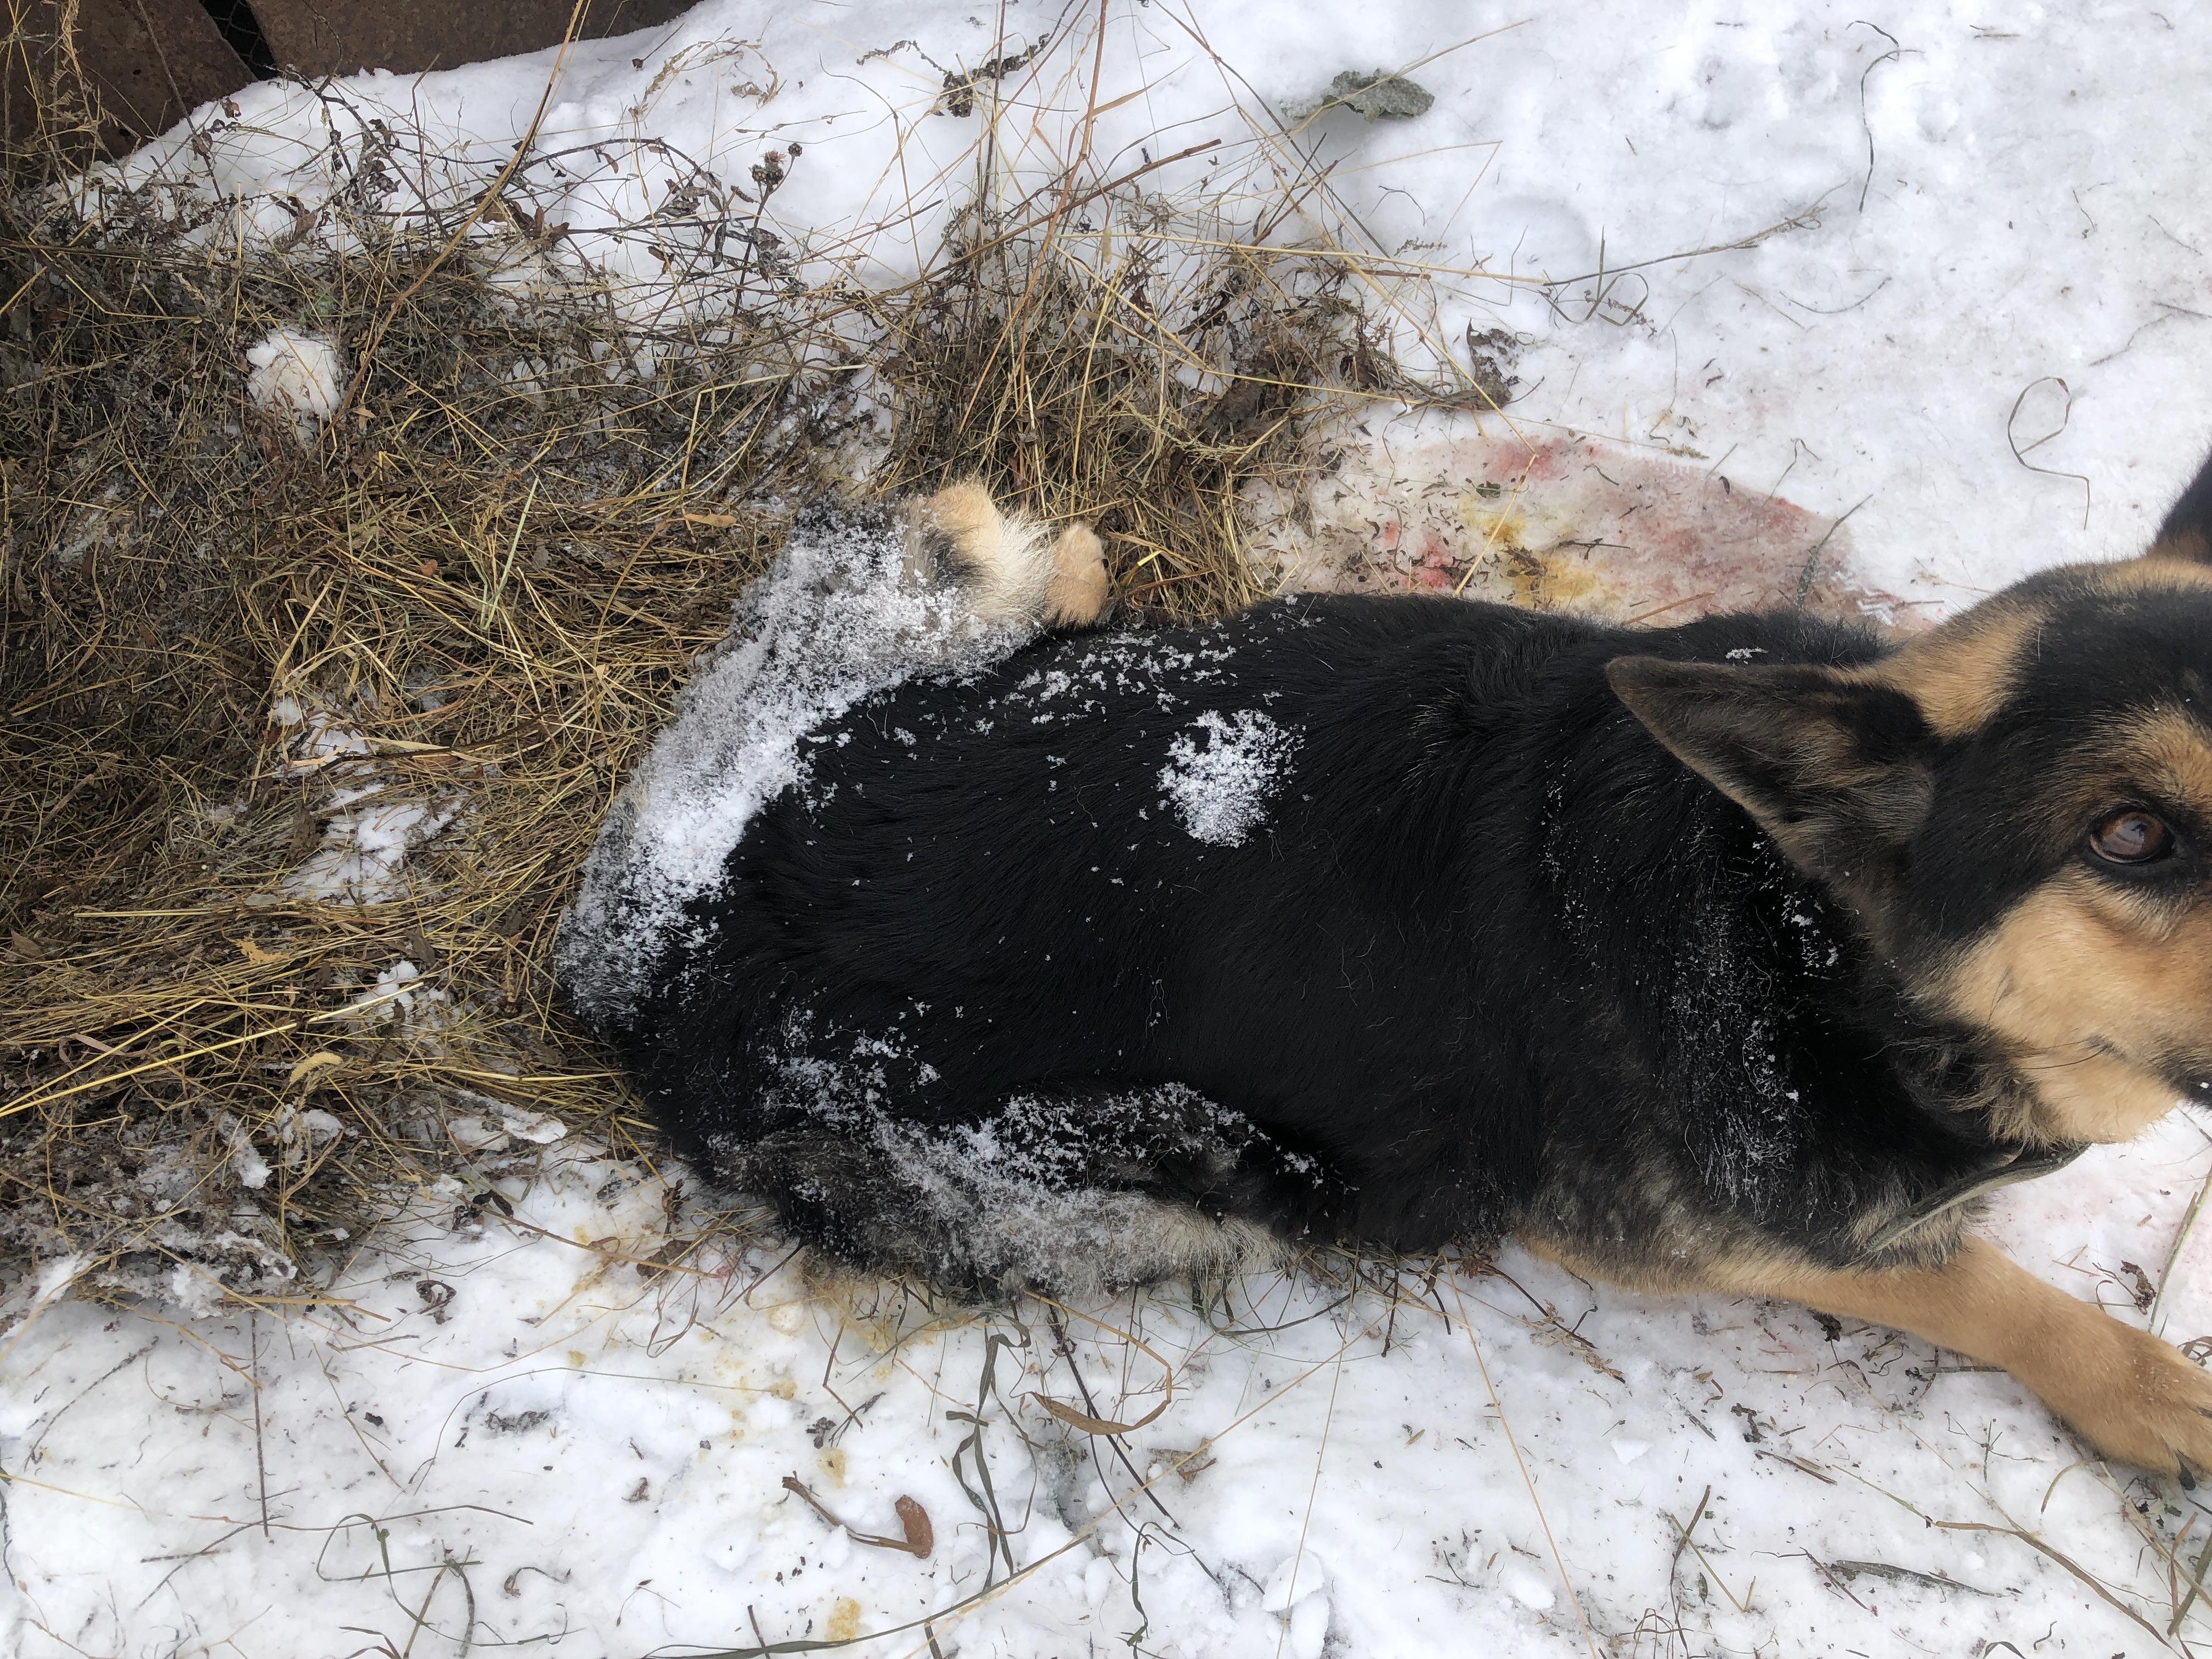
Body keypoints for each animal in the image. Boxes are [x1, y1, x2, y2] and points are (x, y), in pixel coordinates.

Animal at [575, 455, 2212, 1477]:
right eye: (2131, 836)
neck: (1810, 951)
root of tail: (694, 932)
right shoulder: (1707, 1241)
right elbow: (1982, 1289)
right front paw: (2144, 1394)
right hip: (1154, 1176)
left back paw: (1055, 566)